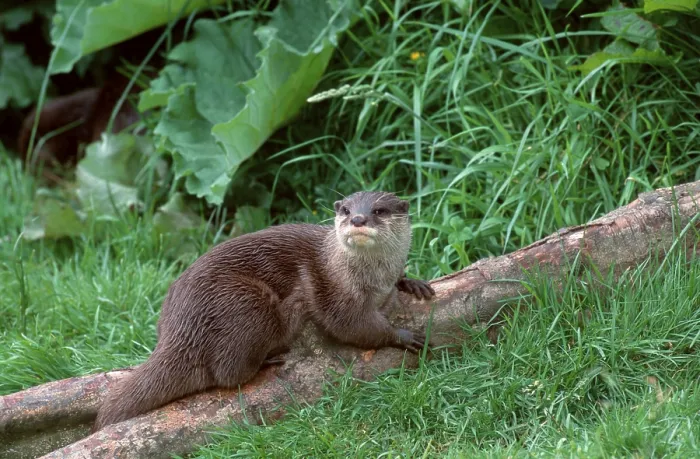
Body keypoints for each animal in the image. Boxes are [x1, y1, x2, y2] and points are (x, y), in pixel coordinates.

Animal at [93, 191, 435, 430]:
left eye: (379, 210)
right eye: (347, 210)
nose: (359, 220)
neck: (373, 280)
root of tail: (180, 327)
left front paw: (412, 282)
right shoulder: (337, 294)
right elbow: (354, 326)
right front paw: (404, 335)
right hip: (246, 301)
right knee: (228, 374)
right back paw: (270, 357)